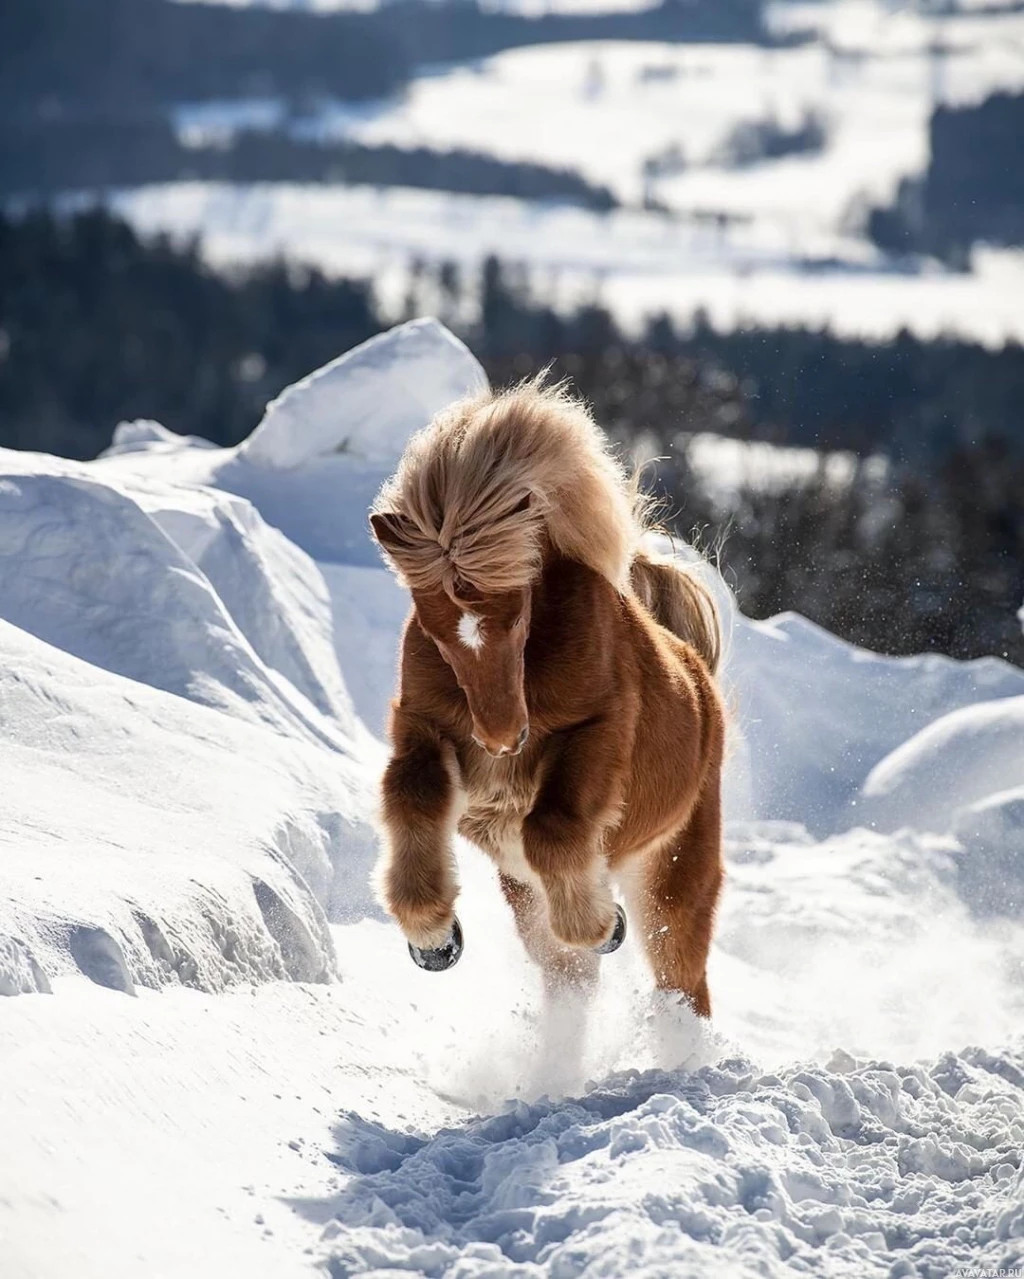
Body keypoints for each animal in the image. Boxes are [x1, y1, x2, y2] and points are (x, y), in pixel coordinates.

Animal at [365, 381, 721, 1018]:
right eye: (432, 628)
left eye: (517, 613)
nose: (501, 739)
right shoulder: (425, 728)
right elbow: (412, 797)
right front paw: (433, 937)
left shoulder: (599, 733)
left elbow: (552, 829)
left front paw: (605, 926)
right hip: (524, 894)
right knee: (567, 975)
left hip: (674, 877)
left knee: (683, 980)